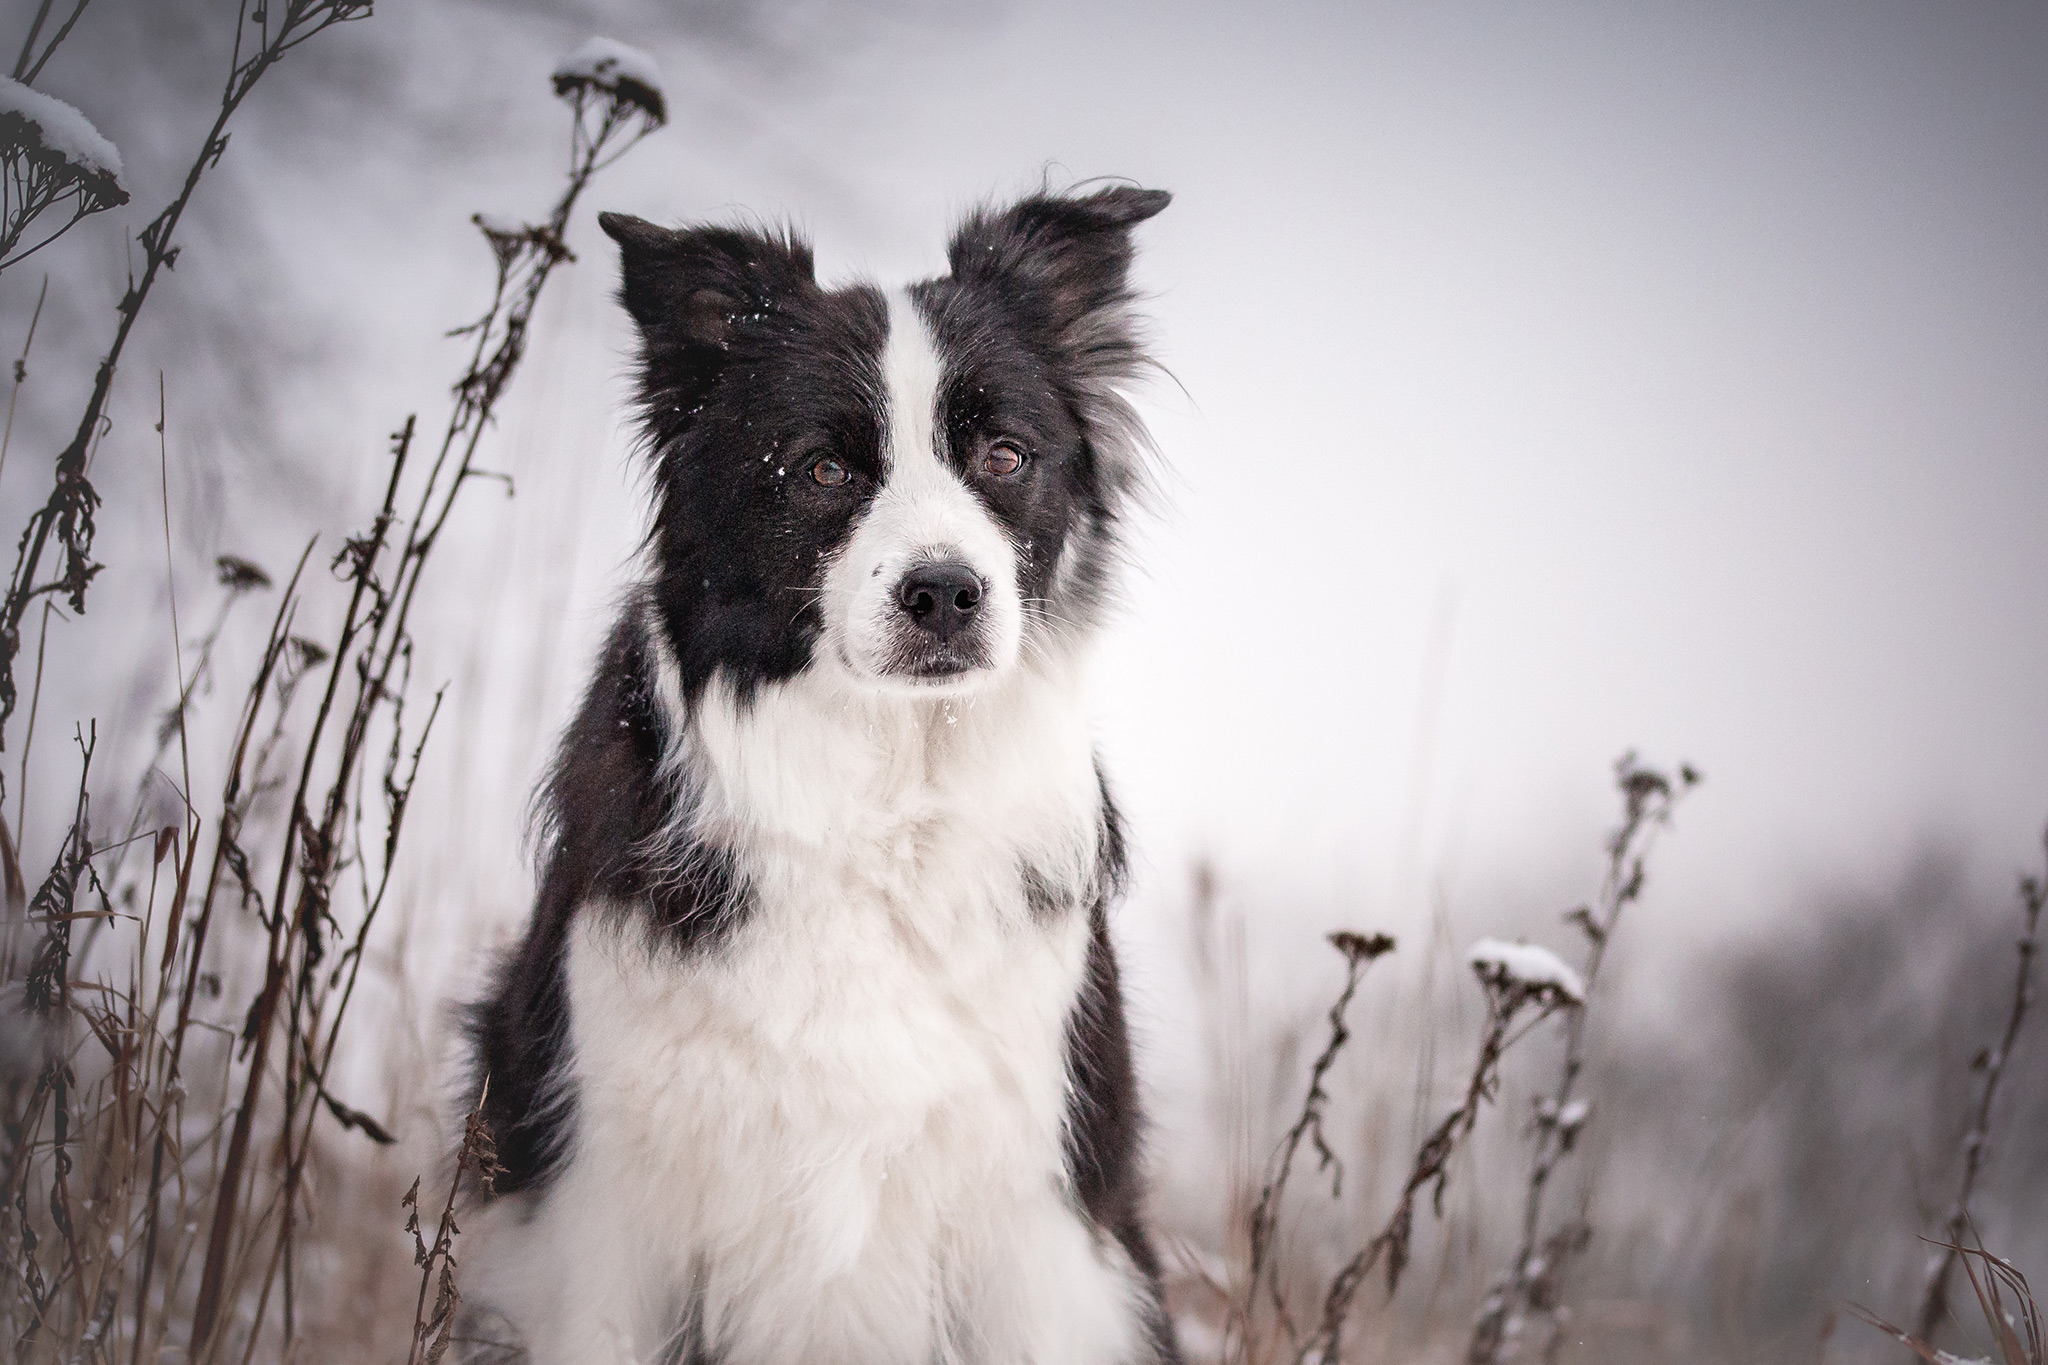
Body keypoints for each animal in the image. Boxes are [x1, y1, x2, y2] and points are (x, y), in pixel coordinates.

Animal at [462, 184, 1171, 1365]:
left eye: (1004, 456)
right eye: (823, 470)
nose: (946, 593)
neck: (887, 790)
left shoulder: (1039, 1221)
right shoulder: (599, 1210)